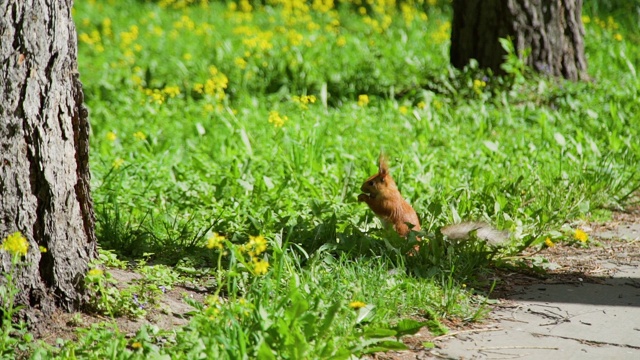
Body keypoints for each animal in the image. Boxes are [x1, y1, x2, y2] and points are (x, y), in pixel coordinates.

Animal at [358, 154, 508, 245]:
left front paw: (363, 197)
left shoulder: (388, 203)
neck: (388, 191)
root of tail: (419, 238)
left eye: (371, 183)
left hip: (400, 229)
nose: (361, 187)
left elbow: (377, 207)